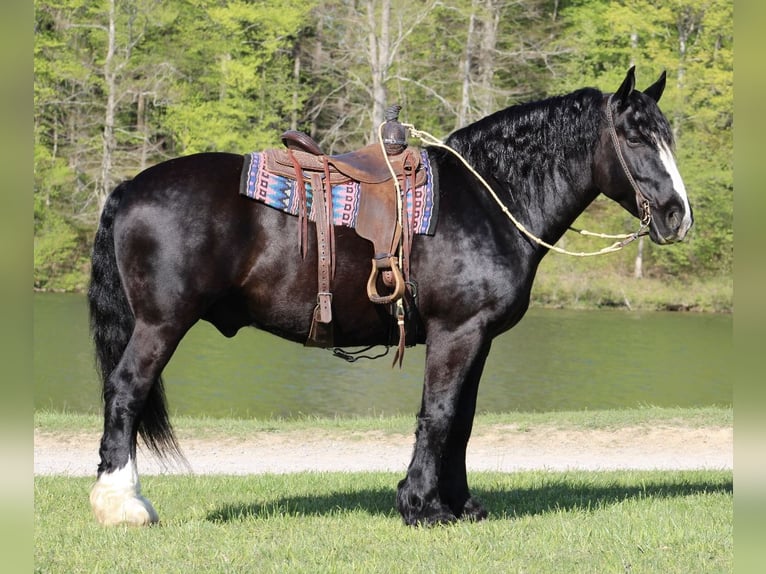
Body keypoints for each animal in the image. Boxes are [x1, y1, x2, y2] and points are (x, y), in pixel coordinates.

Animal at [87, 67, 692, 528]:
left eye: (667, 137)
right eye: (636, 137)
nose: (678, 216)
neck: (487, 200)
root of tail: (128, 187)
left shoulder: (478, 338)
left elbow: (463, 419)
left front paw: (459, 503)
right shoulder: (456, 332)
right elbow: (439, 413)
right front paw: (422, 506)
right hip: (161, 324)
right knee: (125, 391)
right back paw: (123, 504)